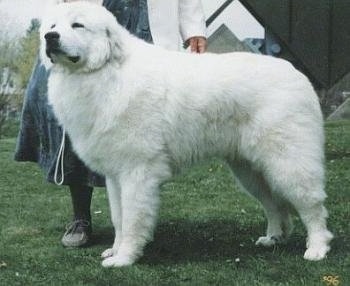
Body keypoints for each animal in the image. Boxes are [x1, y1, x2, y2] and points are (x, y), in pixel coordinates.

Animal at [41, 2, 334, 268]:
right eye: (53, 26)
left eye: (77, 25)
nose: (49, 37)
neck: (108, 69)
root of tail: (298, 75)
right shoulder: (115, 176)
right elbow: (119, 219)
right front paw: (115, 250)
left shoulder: (137, 172)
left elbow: (133, 219)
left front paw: (124, 258)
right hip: (251, 171)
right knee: (275, 205)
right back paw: (273, 238)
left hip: (289, 162)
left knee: (312, 206)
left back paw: (317, 248)